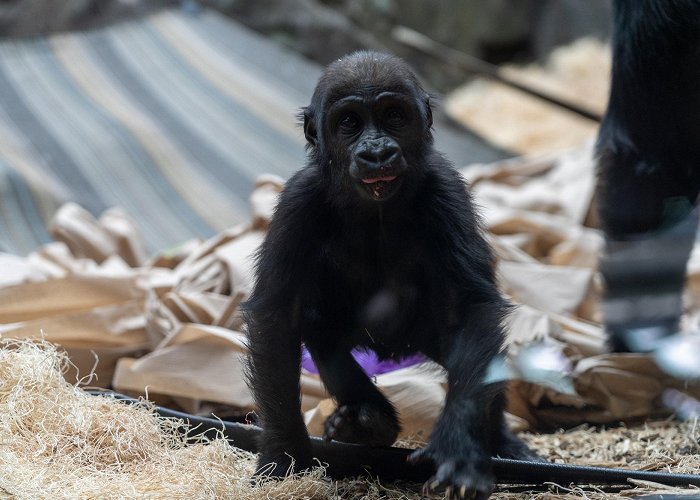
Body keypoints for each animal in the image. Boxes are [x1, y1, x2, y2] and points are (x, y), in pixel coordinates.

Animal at [246, 49, 536, 496]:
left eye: (394, 115)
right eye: (349, 122)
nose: (377, 151)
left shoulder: (447, 191)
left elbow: (471, 310)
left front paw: (459, 450)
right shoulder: (298, 201)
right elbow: (277, 319)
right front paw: (283, 455)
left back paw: (500, 441)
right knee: (320, 332)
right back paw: (369, 421)